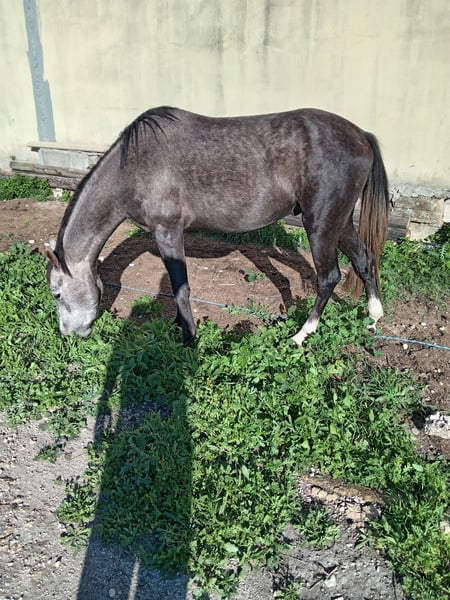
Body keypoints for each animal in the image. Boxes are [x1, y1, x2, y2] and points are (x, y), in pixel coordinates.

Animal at [45, 106, 389, 346]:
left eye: (57, 294)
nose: (67, 335)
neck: (131, 166)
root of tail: (361, 135)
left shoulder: (167, 232)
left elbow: (180, 288)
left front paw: (188, 338)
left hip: (319, 224)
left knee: (328, 277)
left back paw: (301, 334)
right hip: (339, 223)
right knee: (364, 260)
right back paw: (373, 317)